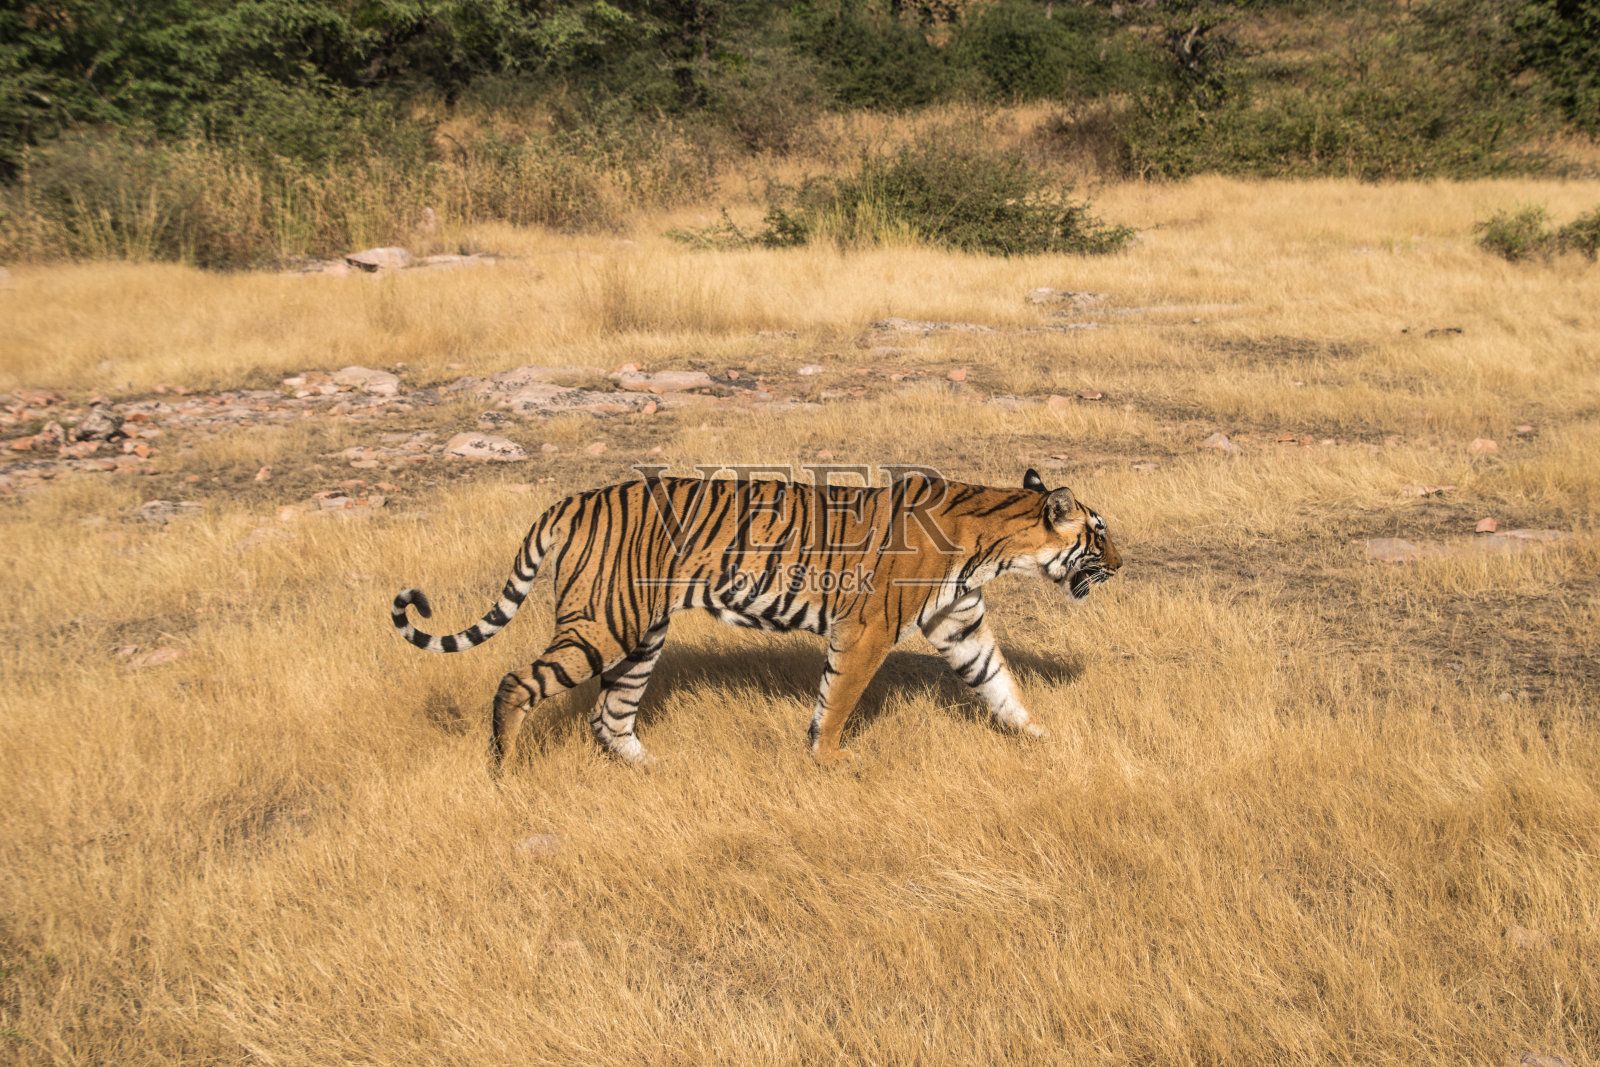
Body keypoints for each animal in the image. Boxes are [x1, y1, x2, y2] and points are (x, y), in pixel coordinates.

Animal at [392, 470, 1120, 777]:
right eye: (1100, 533)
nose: (1121, 562)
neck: (994, 545)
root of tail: (575, 498)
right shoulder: (867, 629)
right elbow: (839, 697)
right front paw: (829, 759)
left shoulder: (958, 623)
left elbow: (1000, 683)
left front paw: (1038, 735)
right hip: (604, 623)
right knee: (517, 682)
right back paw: (505, 772)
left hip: (641, 635)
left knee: (610, 714)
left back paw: (652, 768)